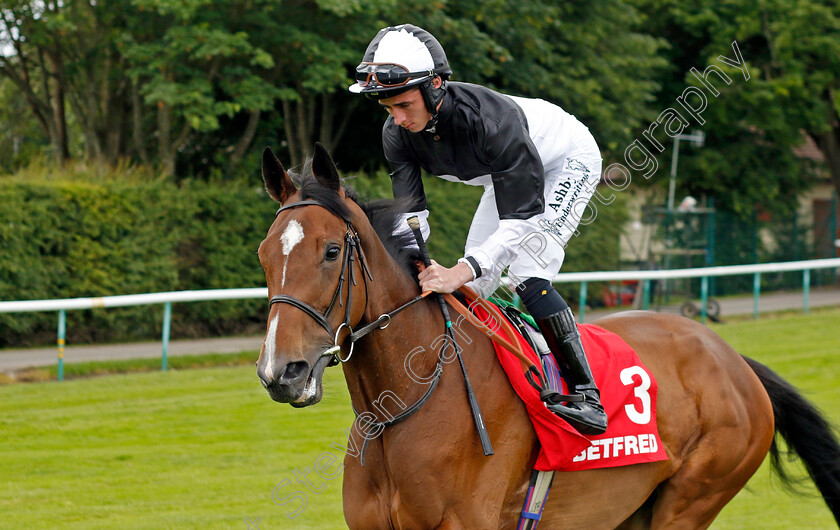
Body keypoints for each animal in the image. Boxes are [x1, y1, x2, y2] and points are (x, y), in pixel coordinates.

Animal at [256, 142, 840, 524]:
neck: (404, 408)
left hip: (694, 494)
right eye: (264, 255)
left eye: (332, 251)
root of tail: (735, 361)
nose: (281, 372)